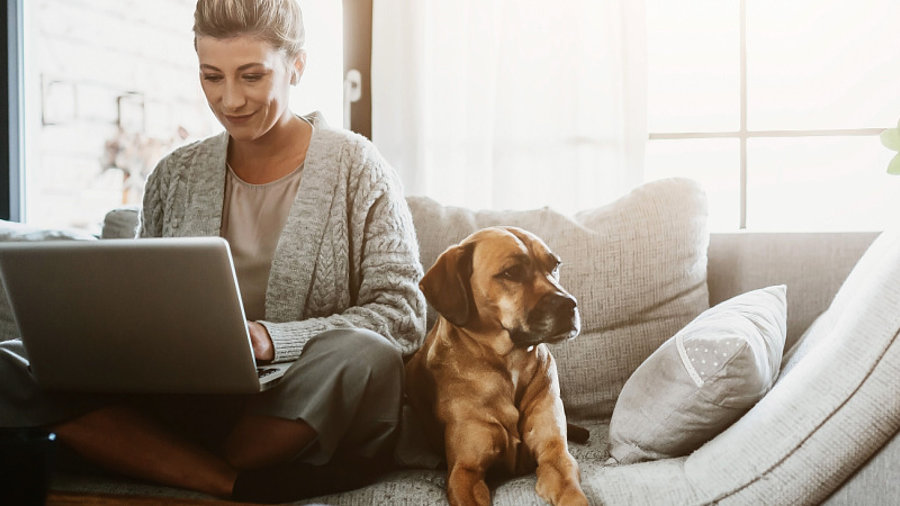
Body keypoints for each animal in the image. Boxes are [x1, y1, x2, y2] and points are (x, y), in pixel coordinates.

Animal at [404, 226, 588, 506]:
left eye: (554, 265)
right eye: (511, 272)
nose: (570, 304)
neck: (510, 363)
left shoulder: (555, 456)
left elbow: (573, 493)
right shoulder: (465, 472)